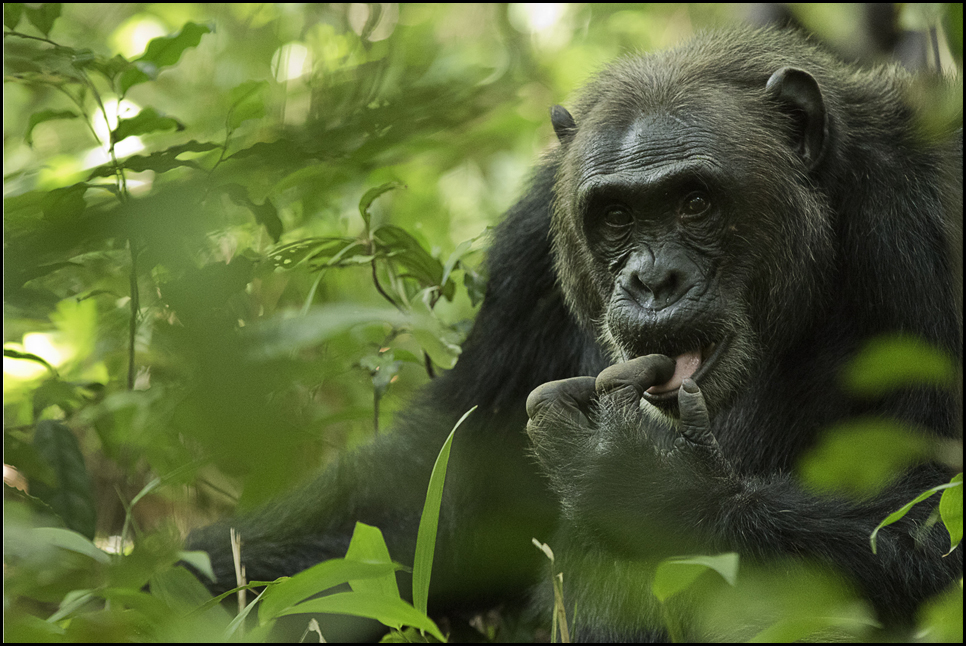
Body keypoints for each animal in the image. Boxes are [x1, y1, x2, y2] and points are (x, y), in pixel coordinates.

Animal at [187, 26, 960, 644]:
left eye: (695, 201)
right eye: (615, 216)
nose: (652, 279)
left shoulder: (932, 221)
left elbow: (940, 521)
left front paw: (644, 478)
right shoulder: (531, 247)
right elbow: (441, 492)